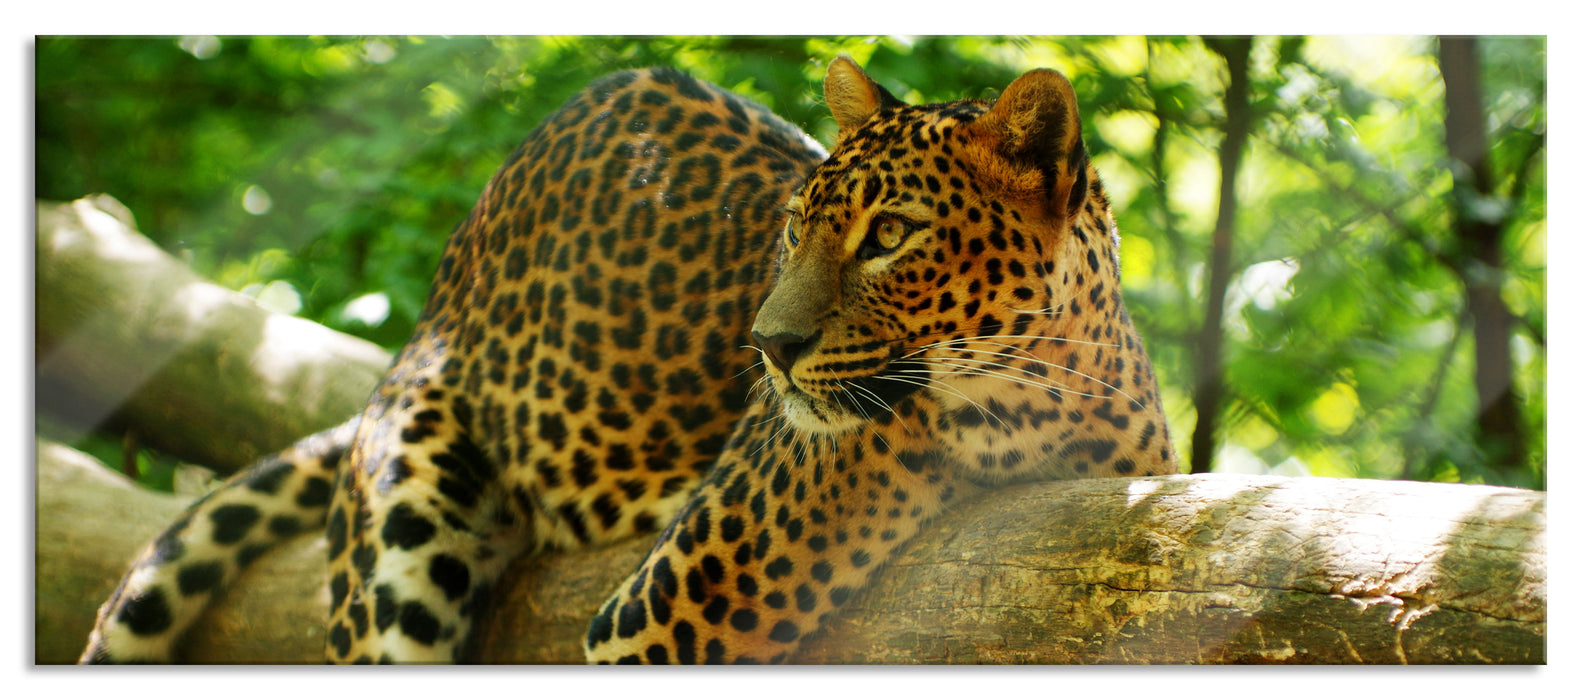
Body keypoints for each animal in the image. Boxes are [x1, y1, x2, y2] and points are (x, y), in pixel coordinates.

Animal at [80, 56, 1178, 665]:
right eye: (795, 228)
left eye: (892, 235)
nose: (769, 347)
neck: (1036, 400)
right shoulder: (660, 615)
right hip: (404, 529)